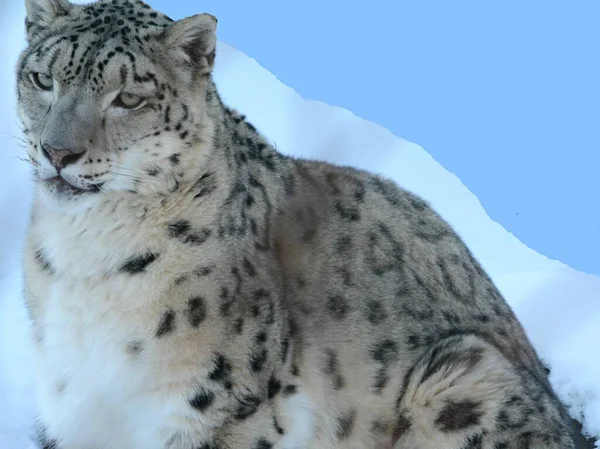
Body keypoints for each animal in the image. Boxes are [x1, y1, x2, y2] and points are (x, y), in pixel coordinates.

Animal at [17, 0, 584, 448]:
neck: (86, 258)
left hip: (463, 377)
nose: (58, 152)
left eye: (129, 98)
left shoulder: (218, 404)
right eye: (43, 78)